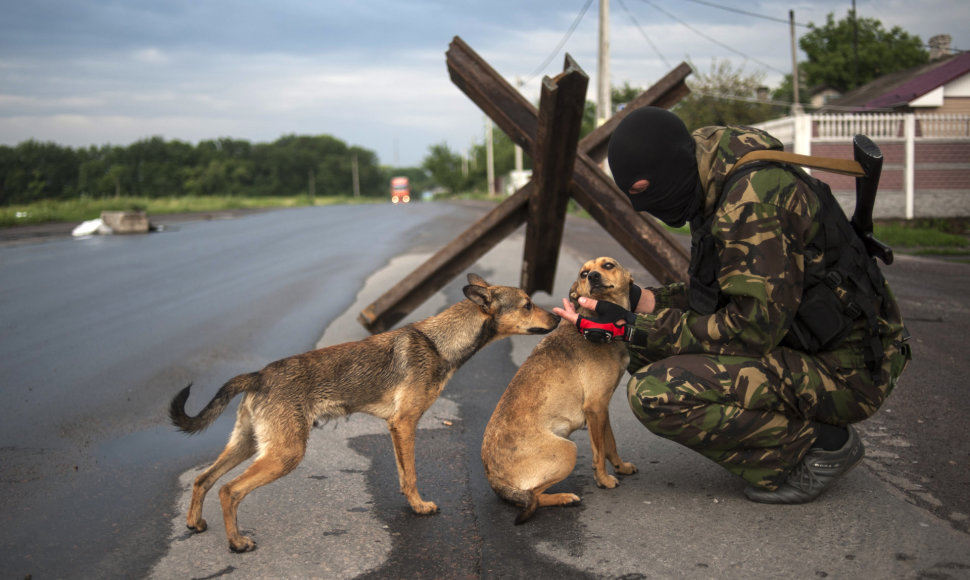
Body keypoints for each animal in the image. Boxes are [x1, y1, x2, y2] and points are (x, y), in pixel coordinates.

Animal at [170, 274, 556, 552]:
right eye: (527, 305)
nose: (556, 317)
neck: (439, 343)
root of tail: (259, 375)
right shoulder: (405, 424)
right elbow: (412, 474)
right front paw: (420, 507)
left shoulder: (396, 429)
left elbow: (403, 474)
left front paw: (412, 505)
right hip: (284, 454)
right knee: (229, 490)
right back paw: (237, 542)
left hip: (249, 444)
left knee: (204, 479)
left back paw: (195, 523)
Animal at [482, 256, 636, 524]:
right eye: (584, 273)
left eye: (608, 265)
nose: (593, 277)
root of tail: (494, 479)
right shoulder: (595, 407)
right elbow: (599, 452)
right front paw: (603, 479)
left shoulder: (603, 409)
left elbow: (610, 444)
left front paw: (621, 467)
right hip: (567, 450)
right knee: (531, 496)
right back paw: (564, 498)